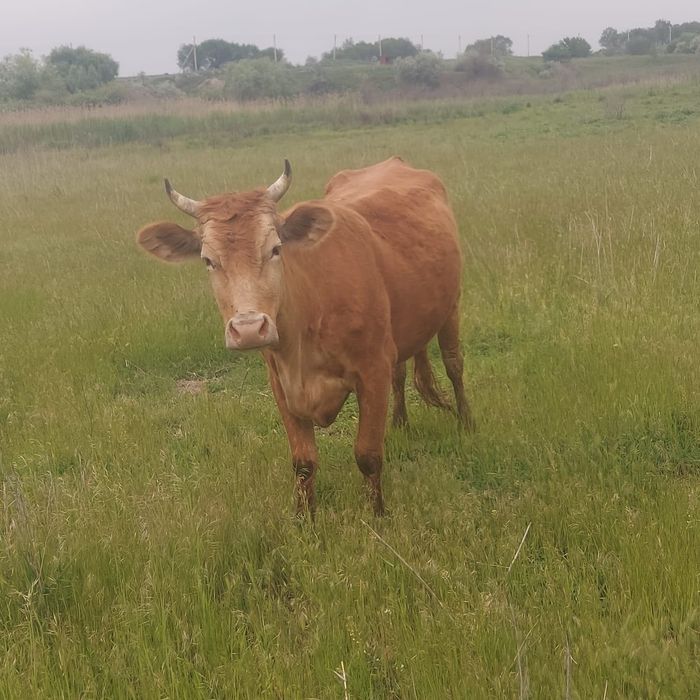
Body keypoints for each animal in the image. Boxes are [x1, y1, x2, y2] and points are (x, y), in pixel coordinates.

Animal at [136, 157, 473, 516]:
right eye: (208, 260)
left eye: (275, 249)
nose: (248, 328)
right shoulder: (281, 384)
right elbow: (303, 462)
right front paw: (304, 517)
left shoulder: (372, 370)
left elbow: (368, 455)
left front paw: (378, 513)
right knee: (401, 375)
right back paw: (400, 423)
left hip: (452, 307)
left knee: (454, 365)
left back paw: (466, 423)